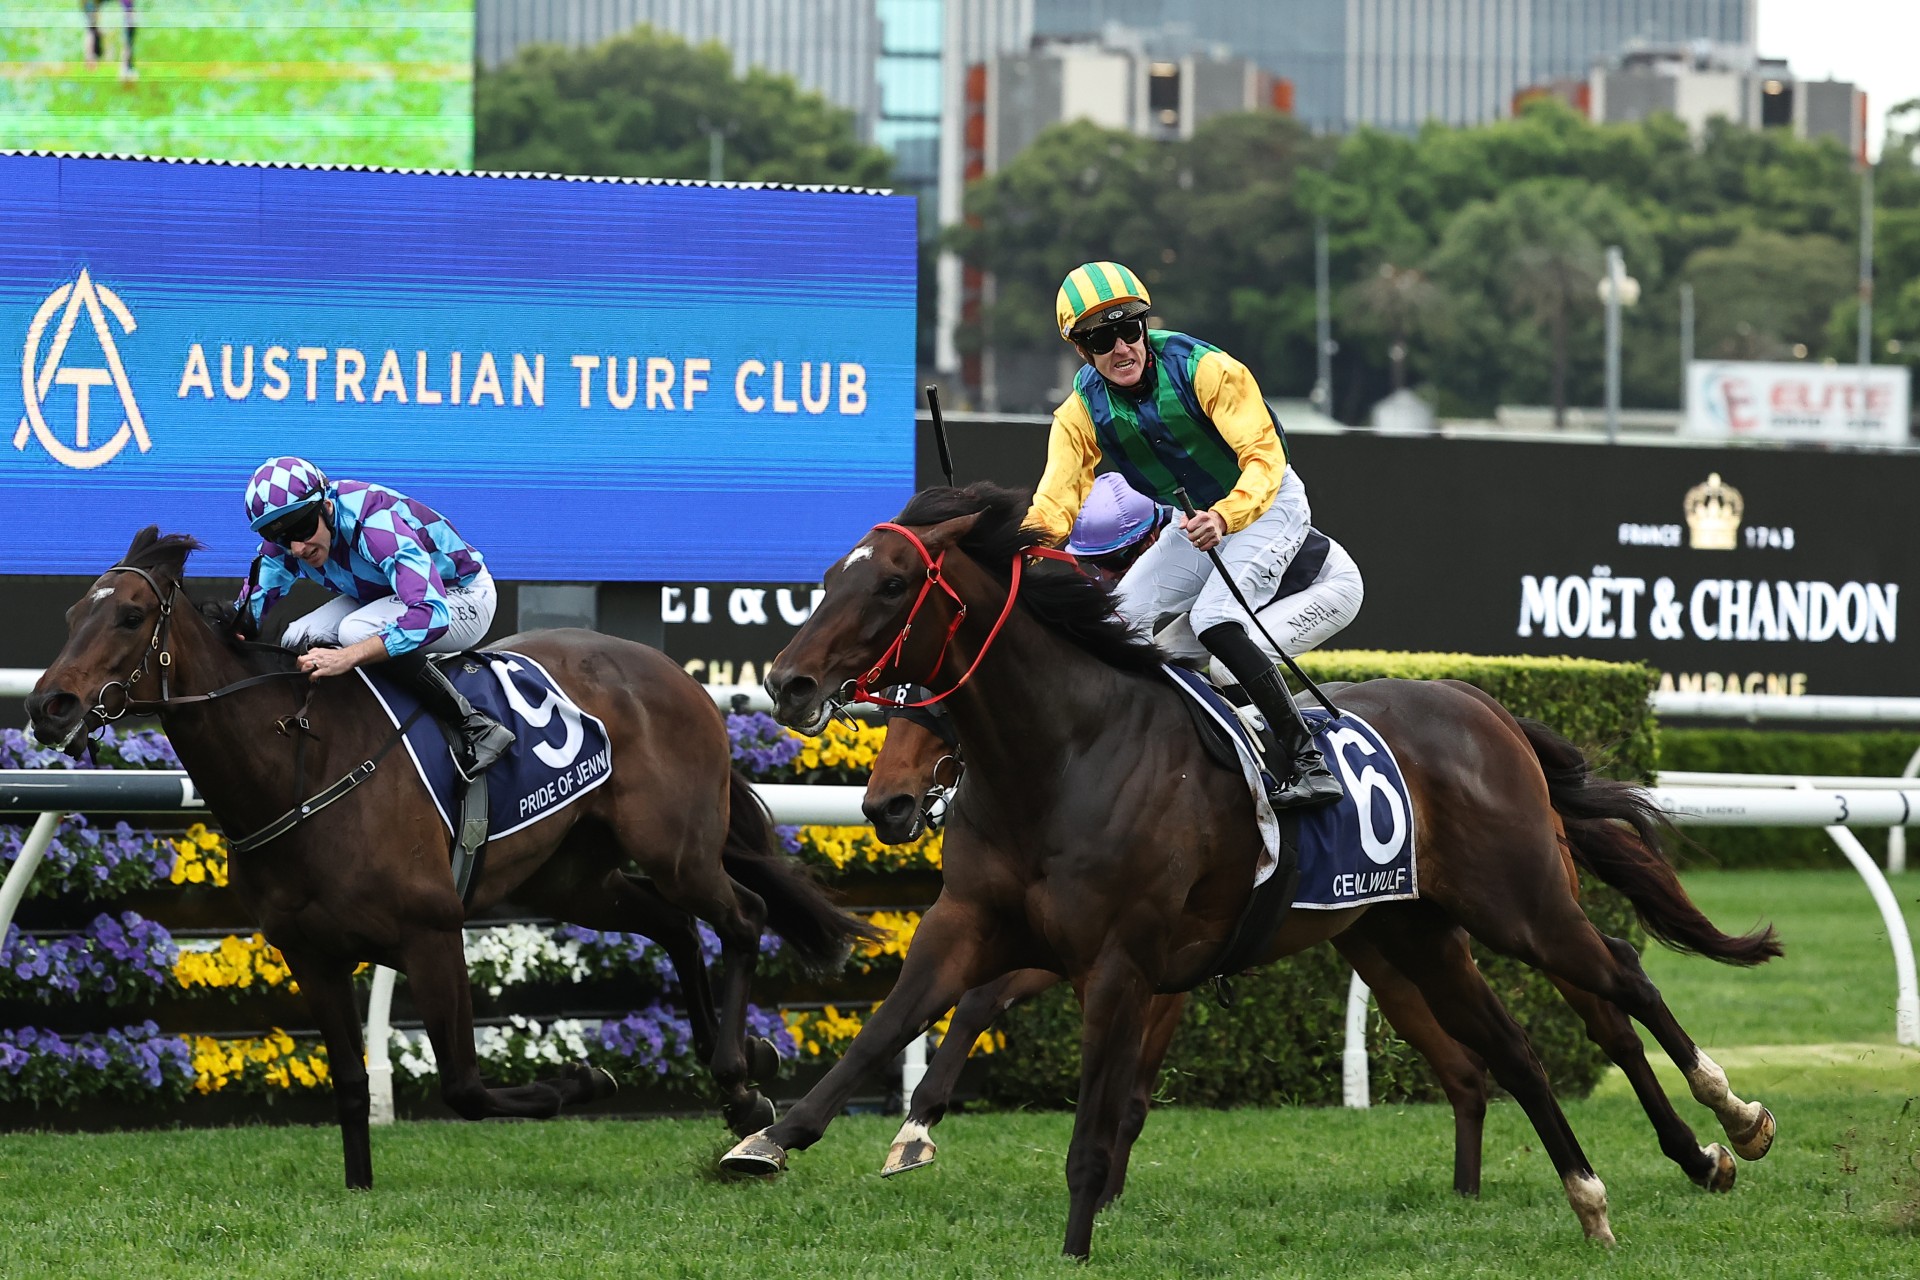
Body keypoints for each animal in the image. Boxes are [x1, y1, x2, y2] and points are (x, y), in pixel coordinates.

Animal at [26, 527, 874, 1188]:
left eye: (130, 615)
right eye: (69, 616)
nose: (47, 706)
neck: (299, 764)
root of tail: (676, 676)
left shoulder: (431, 932)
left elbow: (465, 1087)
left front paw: (581, 1080)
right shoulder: (310, 953)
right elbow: (346, 1083)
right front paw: (359, 1189)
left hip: (675, 848)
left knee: (743, 917)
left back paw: (738, 1077)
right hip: (573, 877)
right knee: (672, 925)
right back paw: (739, 1073)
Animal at [863, 698, 1742, 1201]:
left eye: (937, 707)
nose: (887, 804)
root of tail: (1493, 710)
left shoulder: (1145, 956)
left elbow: (1114, 1071)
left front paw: (1097, 1181)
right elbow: (984, 993)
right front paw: (918, 1125)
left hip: (1521, 905)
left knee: (1613, 993)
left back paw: (1719, 1131)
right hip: (1403, 950)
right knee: (1483, 1060)